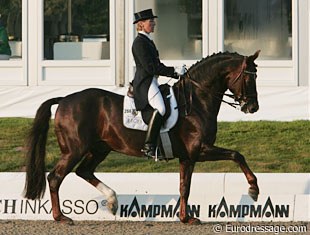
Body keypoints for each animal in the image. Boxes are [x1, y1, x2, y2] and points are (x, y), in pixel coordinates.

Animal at [24, 50, 260, 225]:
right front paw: (253, 189)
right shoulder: (199, 149)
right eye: (249, 77)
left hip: (100, 148)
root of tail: (64, 99)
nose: (253, 107)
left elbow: (184, 187)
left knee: (84, 171)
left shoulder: (188, 156)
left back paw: (112, 201)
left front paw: (186, 218)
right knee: (56, 177)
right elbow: (236, 155)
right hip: (75, 150)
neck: (196, 101)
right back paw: (61, 217)